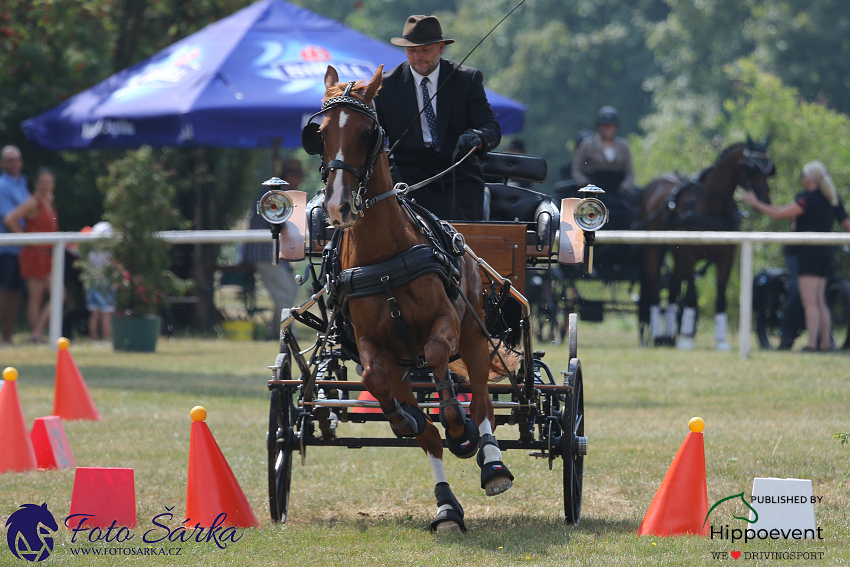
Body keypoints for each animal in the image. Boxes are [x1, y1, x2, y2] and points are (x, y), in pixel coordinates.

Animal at [308, 65, 512, 532]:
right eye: (319, 133)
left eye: (367, 132)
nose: (338, 205)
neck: (383, 260)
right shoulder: (373, 346)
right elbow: (374, 383)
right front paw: (406, 419)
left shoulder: (446, 323)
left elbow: (438, 356)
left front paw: (459, 426)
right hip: (403, 363)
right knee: (429, 437)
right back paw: (446, 507)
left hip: (474, 336)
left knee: (483, 405)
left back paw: (490, 463)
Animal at [636, 139, 776, 348]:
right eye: (751, 169)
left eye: (769, 169)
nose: (765, 200)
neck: (712, 206)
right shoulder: (689, 255)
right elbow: (692, 296)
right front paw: (687, 340)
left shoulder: (726, 257)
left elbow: (721, 296)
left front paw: (721, 341)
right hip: (654, 250)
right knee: (654, 287)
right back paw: (657, 334)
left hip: (676, 253)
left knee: (673, 287)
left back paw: (668, 336)